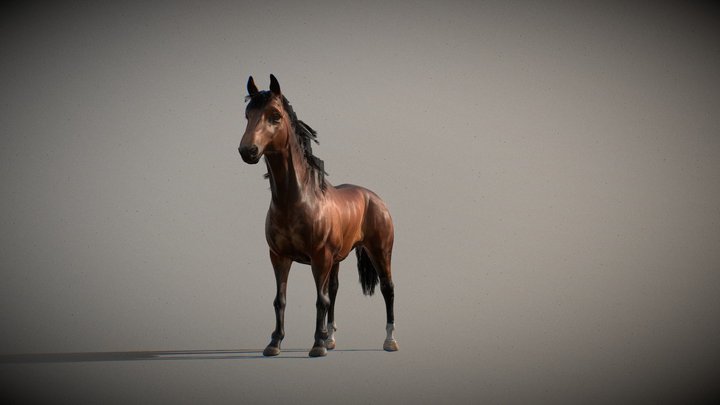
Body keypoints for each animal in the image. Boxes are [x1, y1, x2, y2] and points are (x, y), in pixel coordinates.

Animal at [238, 75, 398, 357]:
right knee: (334, 290)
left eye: (274, 116)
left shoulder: (319, 257)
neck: (298, 200)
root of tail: (375, 198)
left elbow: (319, 300)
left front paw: (316, 346)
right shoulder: (279, 256)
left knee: (387, 288)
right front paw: (274, 343)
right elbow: (280, 299)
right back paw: (330, 338)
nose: (248, 150)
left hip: (379, 250)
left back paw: (389, 341)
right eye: (248, 114)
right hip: (336, 259)